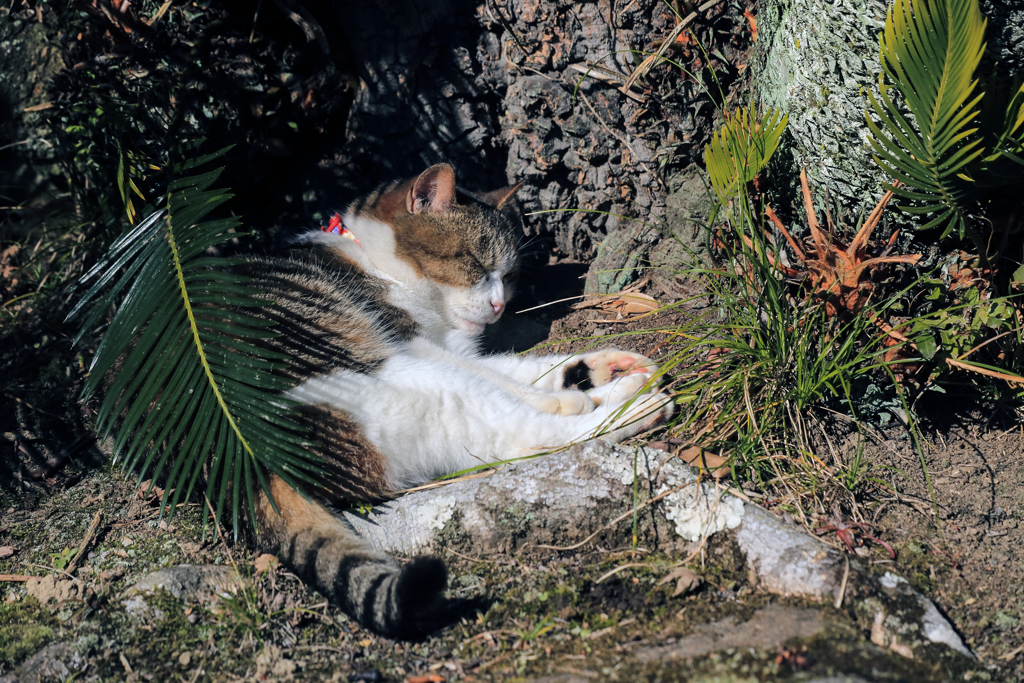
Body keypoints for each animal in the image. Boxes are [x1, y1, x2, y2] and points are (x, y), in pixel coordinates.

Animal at [239, 162, 671, 638]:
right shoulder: (415, 344)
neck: (371, 259)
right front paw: (572, 396)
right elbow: (504, 380)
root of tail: (250, 467)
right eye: (476, 264)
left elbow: (518, 368)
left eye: (509, 275)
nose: (500, 305)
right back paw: (636, 407)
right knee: (529, 435)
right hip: (406, 380)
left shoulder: (447, 347)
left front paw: (594, 370)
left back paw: (619, 382)